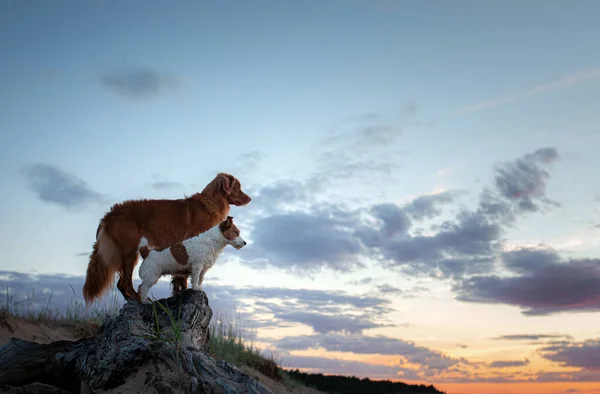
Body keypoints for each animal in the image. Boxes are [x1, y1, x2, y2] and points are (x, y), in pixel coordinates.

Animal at [82, 171, 251, 304]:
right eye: (237, 187)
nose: (250, 199)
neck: (211, 203)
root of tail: (108, 215)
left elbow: (180, 277)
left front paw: (180, 292)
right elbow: (185, 277)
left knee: (121, 284)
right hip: (130, 252)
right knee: (125, 282)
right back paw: (139, 300)